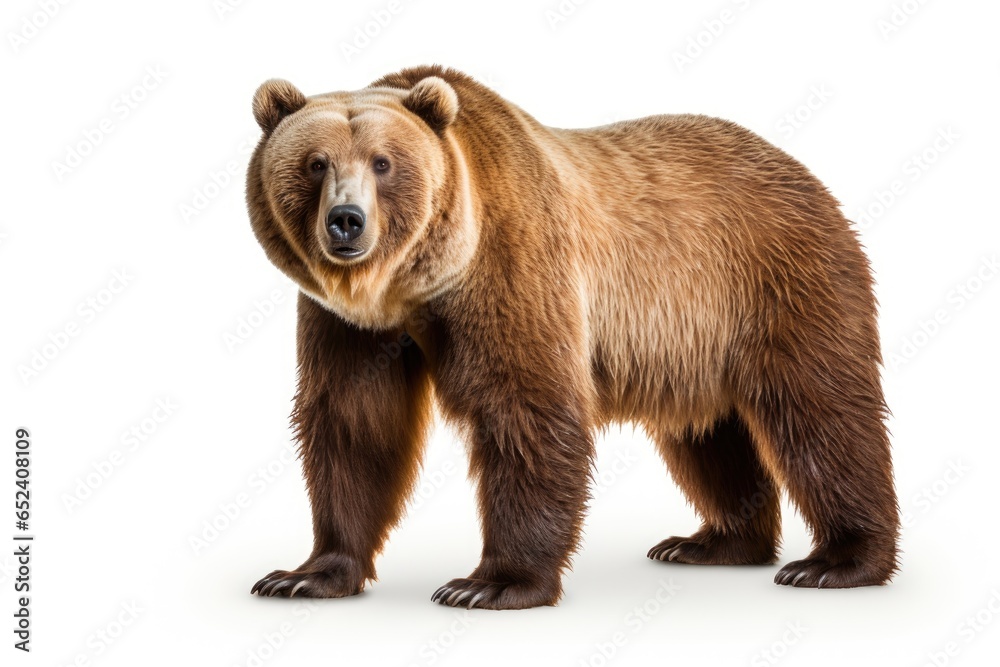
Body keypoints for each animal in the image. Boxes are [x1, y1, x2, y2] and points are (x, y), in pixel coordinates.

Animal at [245, 65, 899, 609]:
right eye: (316, 163)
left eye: (383, 163)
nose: (346, 221)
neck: (412, 287)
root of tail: (800, 167)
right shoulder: (347, 324)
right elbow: (353, 421)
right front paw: (305, 574)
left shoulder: (512, 261)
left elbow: (526, 407)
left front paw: (490, 583)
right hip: (692, 343)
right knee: (709, 434)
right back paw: (713, 543)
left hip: (777, 280)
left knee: (824, 412)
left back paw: (835, 562)